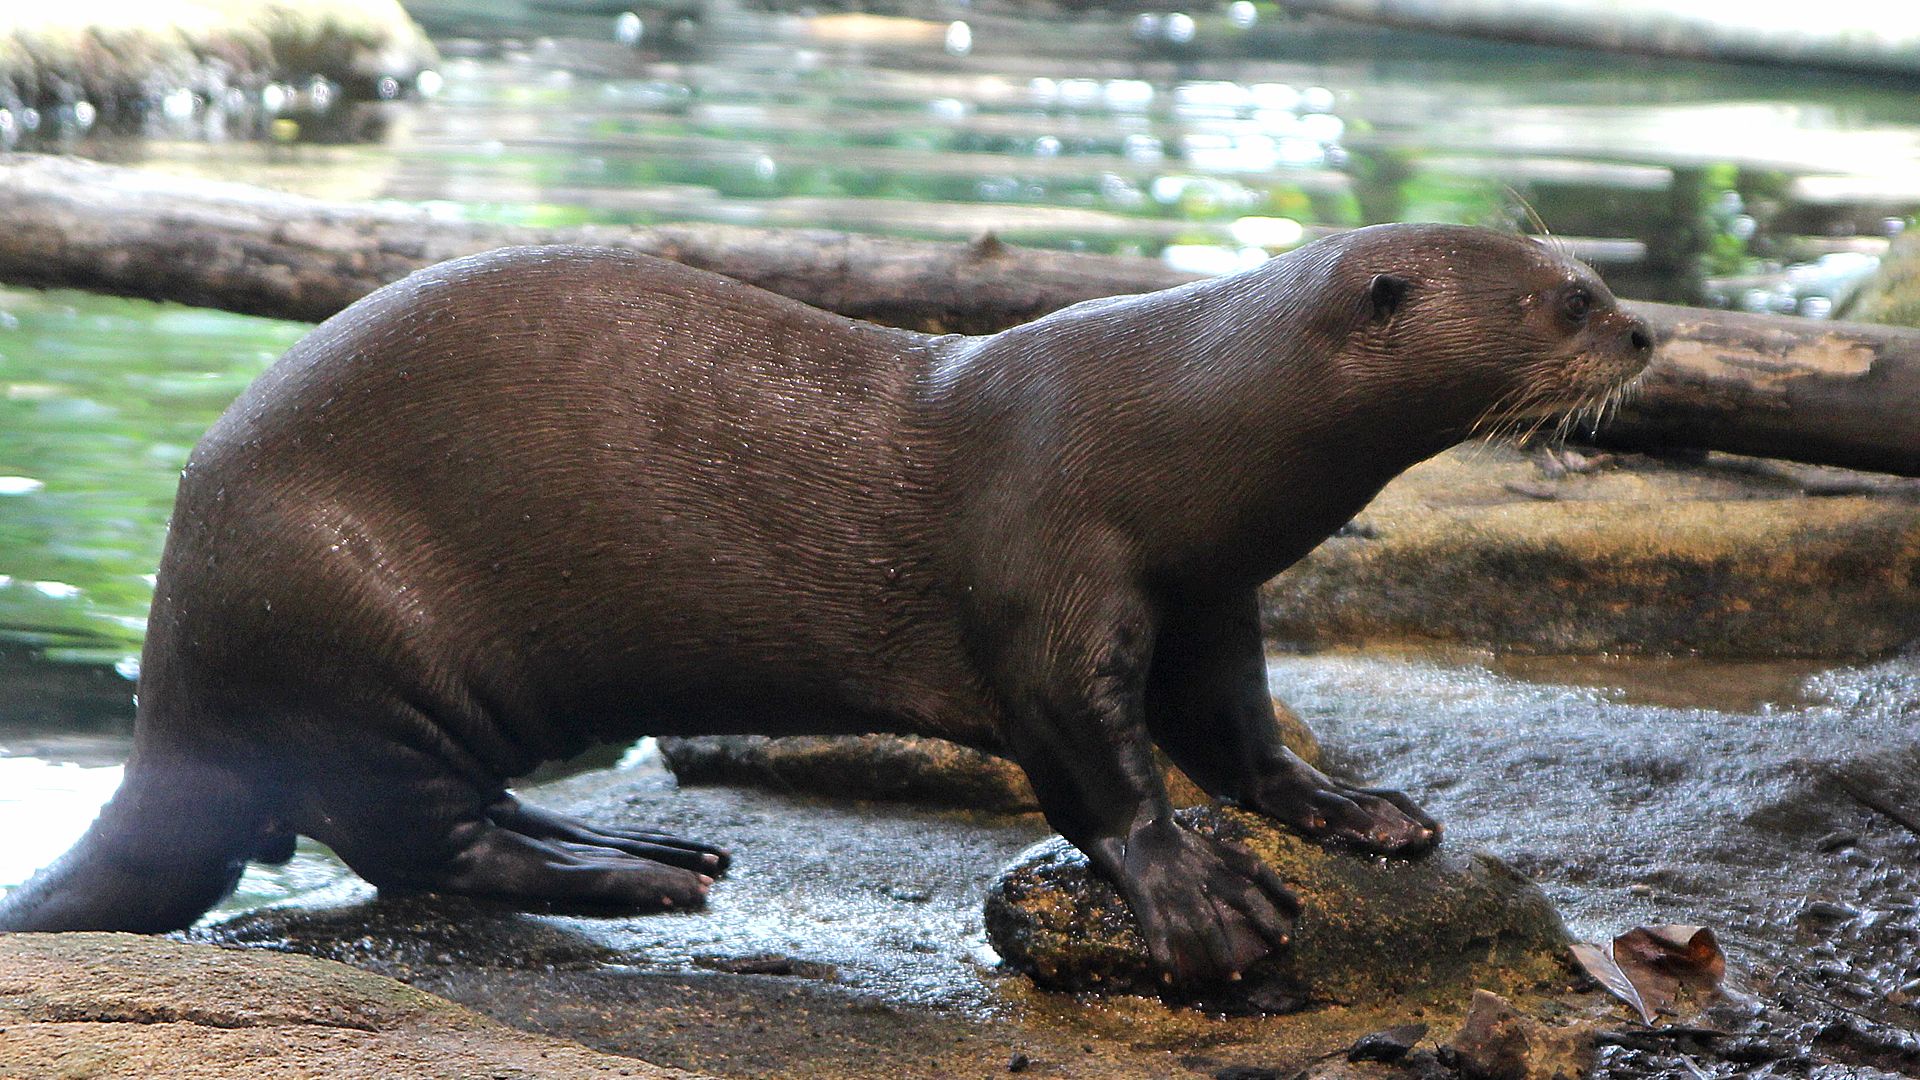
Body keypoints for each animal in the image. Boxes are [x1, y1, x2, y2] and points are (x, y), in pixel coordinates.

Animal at [0, 220, 1651, 983]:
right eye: (1567, 294)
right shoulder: (1047, 573)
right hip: (347, 636)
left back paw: (653, 842)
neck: (1176, 427)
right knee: (420, 846)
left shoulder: (1208, 599)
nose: (1643, 334)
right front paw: (1196, 896)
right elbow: (1094, 765)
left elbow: (1242, 739)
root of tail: (172, 697)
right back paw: (631, 879)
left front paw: (1359, 811)